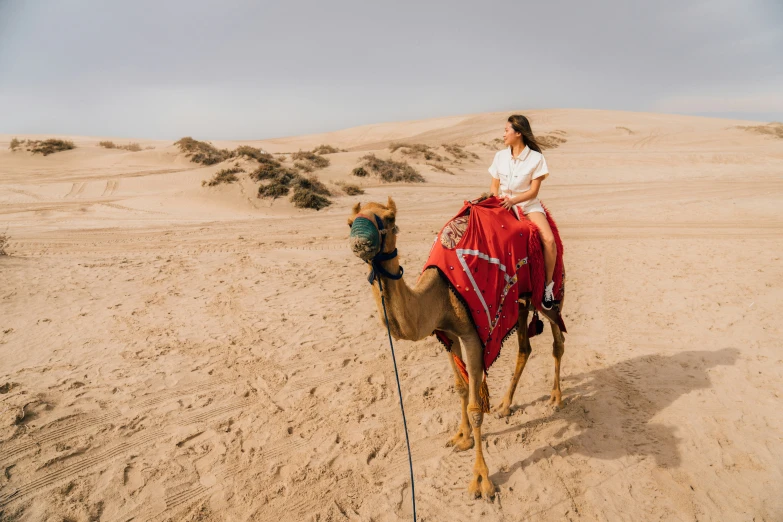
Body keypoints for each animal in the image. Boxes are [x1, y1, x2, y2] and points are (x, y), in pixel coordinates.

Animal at [348, 197, 564, 498]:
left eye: (390, 219)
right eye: (349, 222)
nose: (360, 242)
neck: (440, 292)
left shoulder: (473, 336)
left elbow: (475, 407)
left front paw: (482, 480)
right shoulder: (448, 332)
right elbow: (460, 387)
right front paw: (461, 437)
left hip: (548, 293)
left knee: (558, 339)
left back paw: (556, 398)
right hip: (520, 302)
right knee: (525, 347)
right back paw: (505, 405)